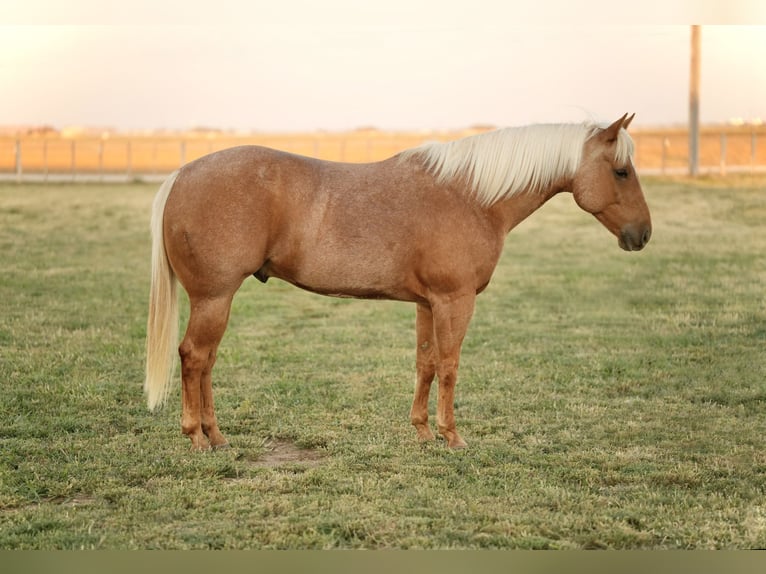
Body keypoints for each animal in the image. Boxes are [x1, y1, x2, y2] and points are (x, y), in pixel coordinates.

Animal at [146, 115, 656, 452]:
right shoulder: (454, 300)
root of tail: (182, 175)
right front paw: (453, 437)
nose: (643, 235)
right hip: (215, 298)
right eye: (621, 171)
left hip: (216, 301)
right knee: (194, 358)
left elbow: (425, 363)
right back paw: (196, 438)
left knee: (206, 362)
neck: (471, 196)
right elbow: (449, 366)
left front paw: (423, 431)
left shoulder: (428, 304)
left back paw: (216, 435)